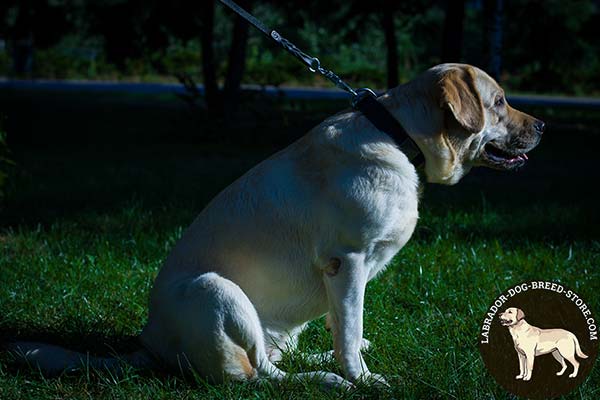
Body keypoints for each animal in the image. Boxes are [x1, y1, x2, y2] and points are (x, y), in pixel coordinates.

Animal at [9, 65, 544, 388]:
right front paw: (363, 380)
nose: (543, 126)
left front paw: (351, 360)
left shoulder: (346, 279)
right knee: (262, 376)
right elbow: (350, 326)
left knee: (278, 359)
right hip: (215, 289)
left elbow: (344, 327)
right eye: (500, 102)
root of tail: (149, 344)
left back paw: (321, 364)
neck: (401, 137)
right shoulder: (348, 262)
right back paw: (328, 381)